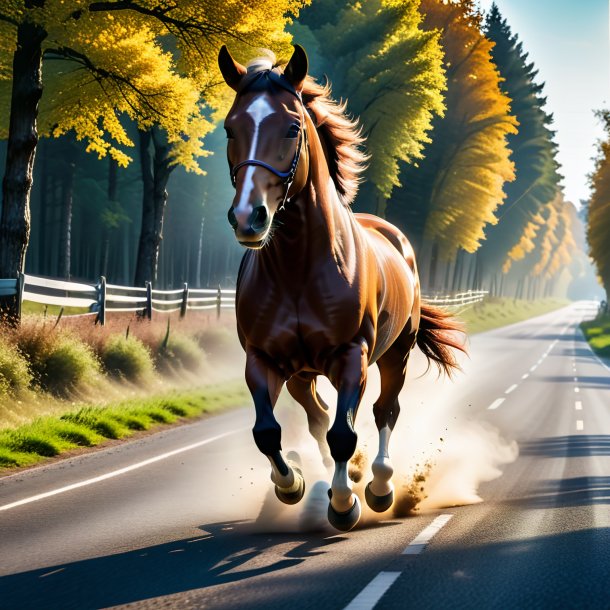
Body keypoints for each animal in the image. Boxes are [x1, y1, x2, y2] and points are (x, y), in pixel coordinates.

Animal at [217, 44, 460, 528]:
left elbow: (344, 434)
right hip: (302, 374)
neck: (298, 271)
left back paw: (380, 487)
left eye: (292, 127)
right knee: (318, 417)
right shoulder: (263, 360)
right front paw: (290, 483)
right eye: (231, 127)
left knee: (384, 411)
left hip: (396, 354)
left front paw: (345, 503)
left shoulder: (352, 357)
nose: (248, 217)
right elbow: (268, 431)